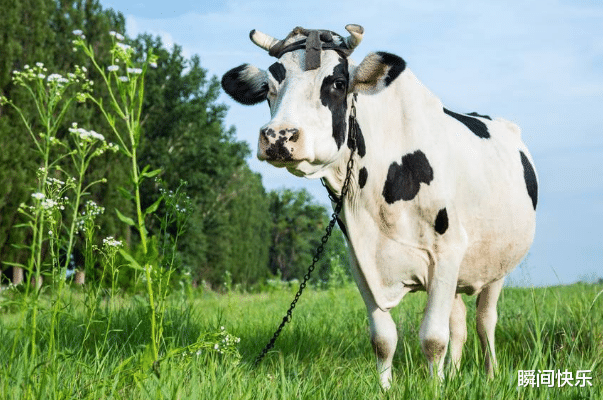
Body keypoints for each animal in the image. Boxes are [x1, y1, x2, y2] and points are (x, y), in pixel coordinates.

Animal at [222, 25, 536, 388]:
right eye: (268, 88)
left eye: (337, 83)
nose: (278, 136)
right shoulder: (361, 259)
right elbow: (383, 338)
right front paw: (389, 387)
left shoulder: (447, 250)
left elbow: (433, 337)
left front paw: (434, 388)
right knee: (458, 321)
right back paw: (456, 373)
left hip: (497, 265)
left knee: (485, 321)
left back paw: (490, 374)